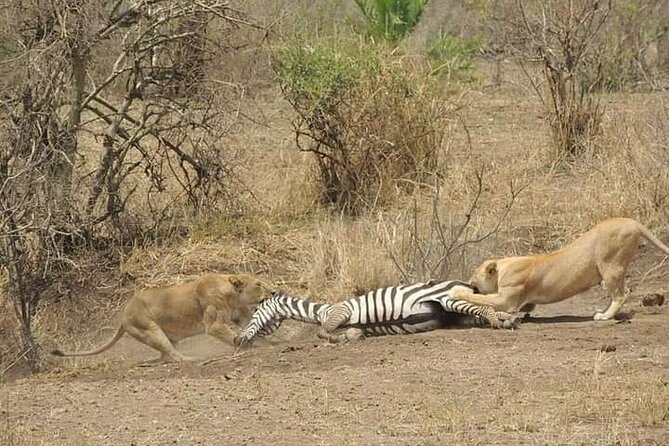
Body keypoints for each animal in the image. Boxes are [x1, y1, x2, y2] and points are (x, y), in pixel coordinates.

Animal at [51, 273, 267, 364]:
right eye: (259, 284)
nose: (272, 291)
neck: (232, 294)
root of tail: (123, 315)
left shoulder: (240, 315)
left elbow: (251, 326)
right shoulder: (213, 325)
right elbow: (232, 336)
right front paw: (248, 345)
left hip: (164, 335)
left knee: (164, 355)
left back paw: (150, 360)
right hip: (149, 329)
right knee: (172, 354)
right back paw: (191, 358)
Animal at [451, 218, 669, 320]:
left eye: (473, 277)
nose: (467, 282)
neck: (503, 267)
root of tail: (632, 221)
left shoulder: (507, 299)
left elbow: (480, 298)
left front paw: (456, 292)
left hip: (610, 266)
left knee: (621, 295)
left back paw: (604, 316)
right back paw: (603, 311)